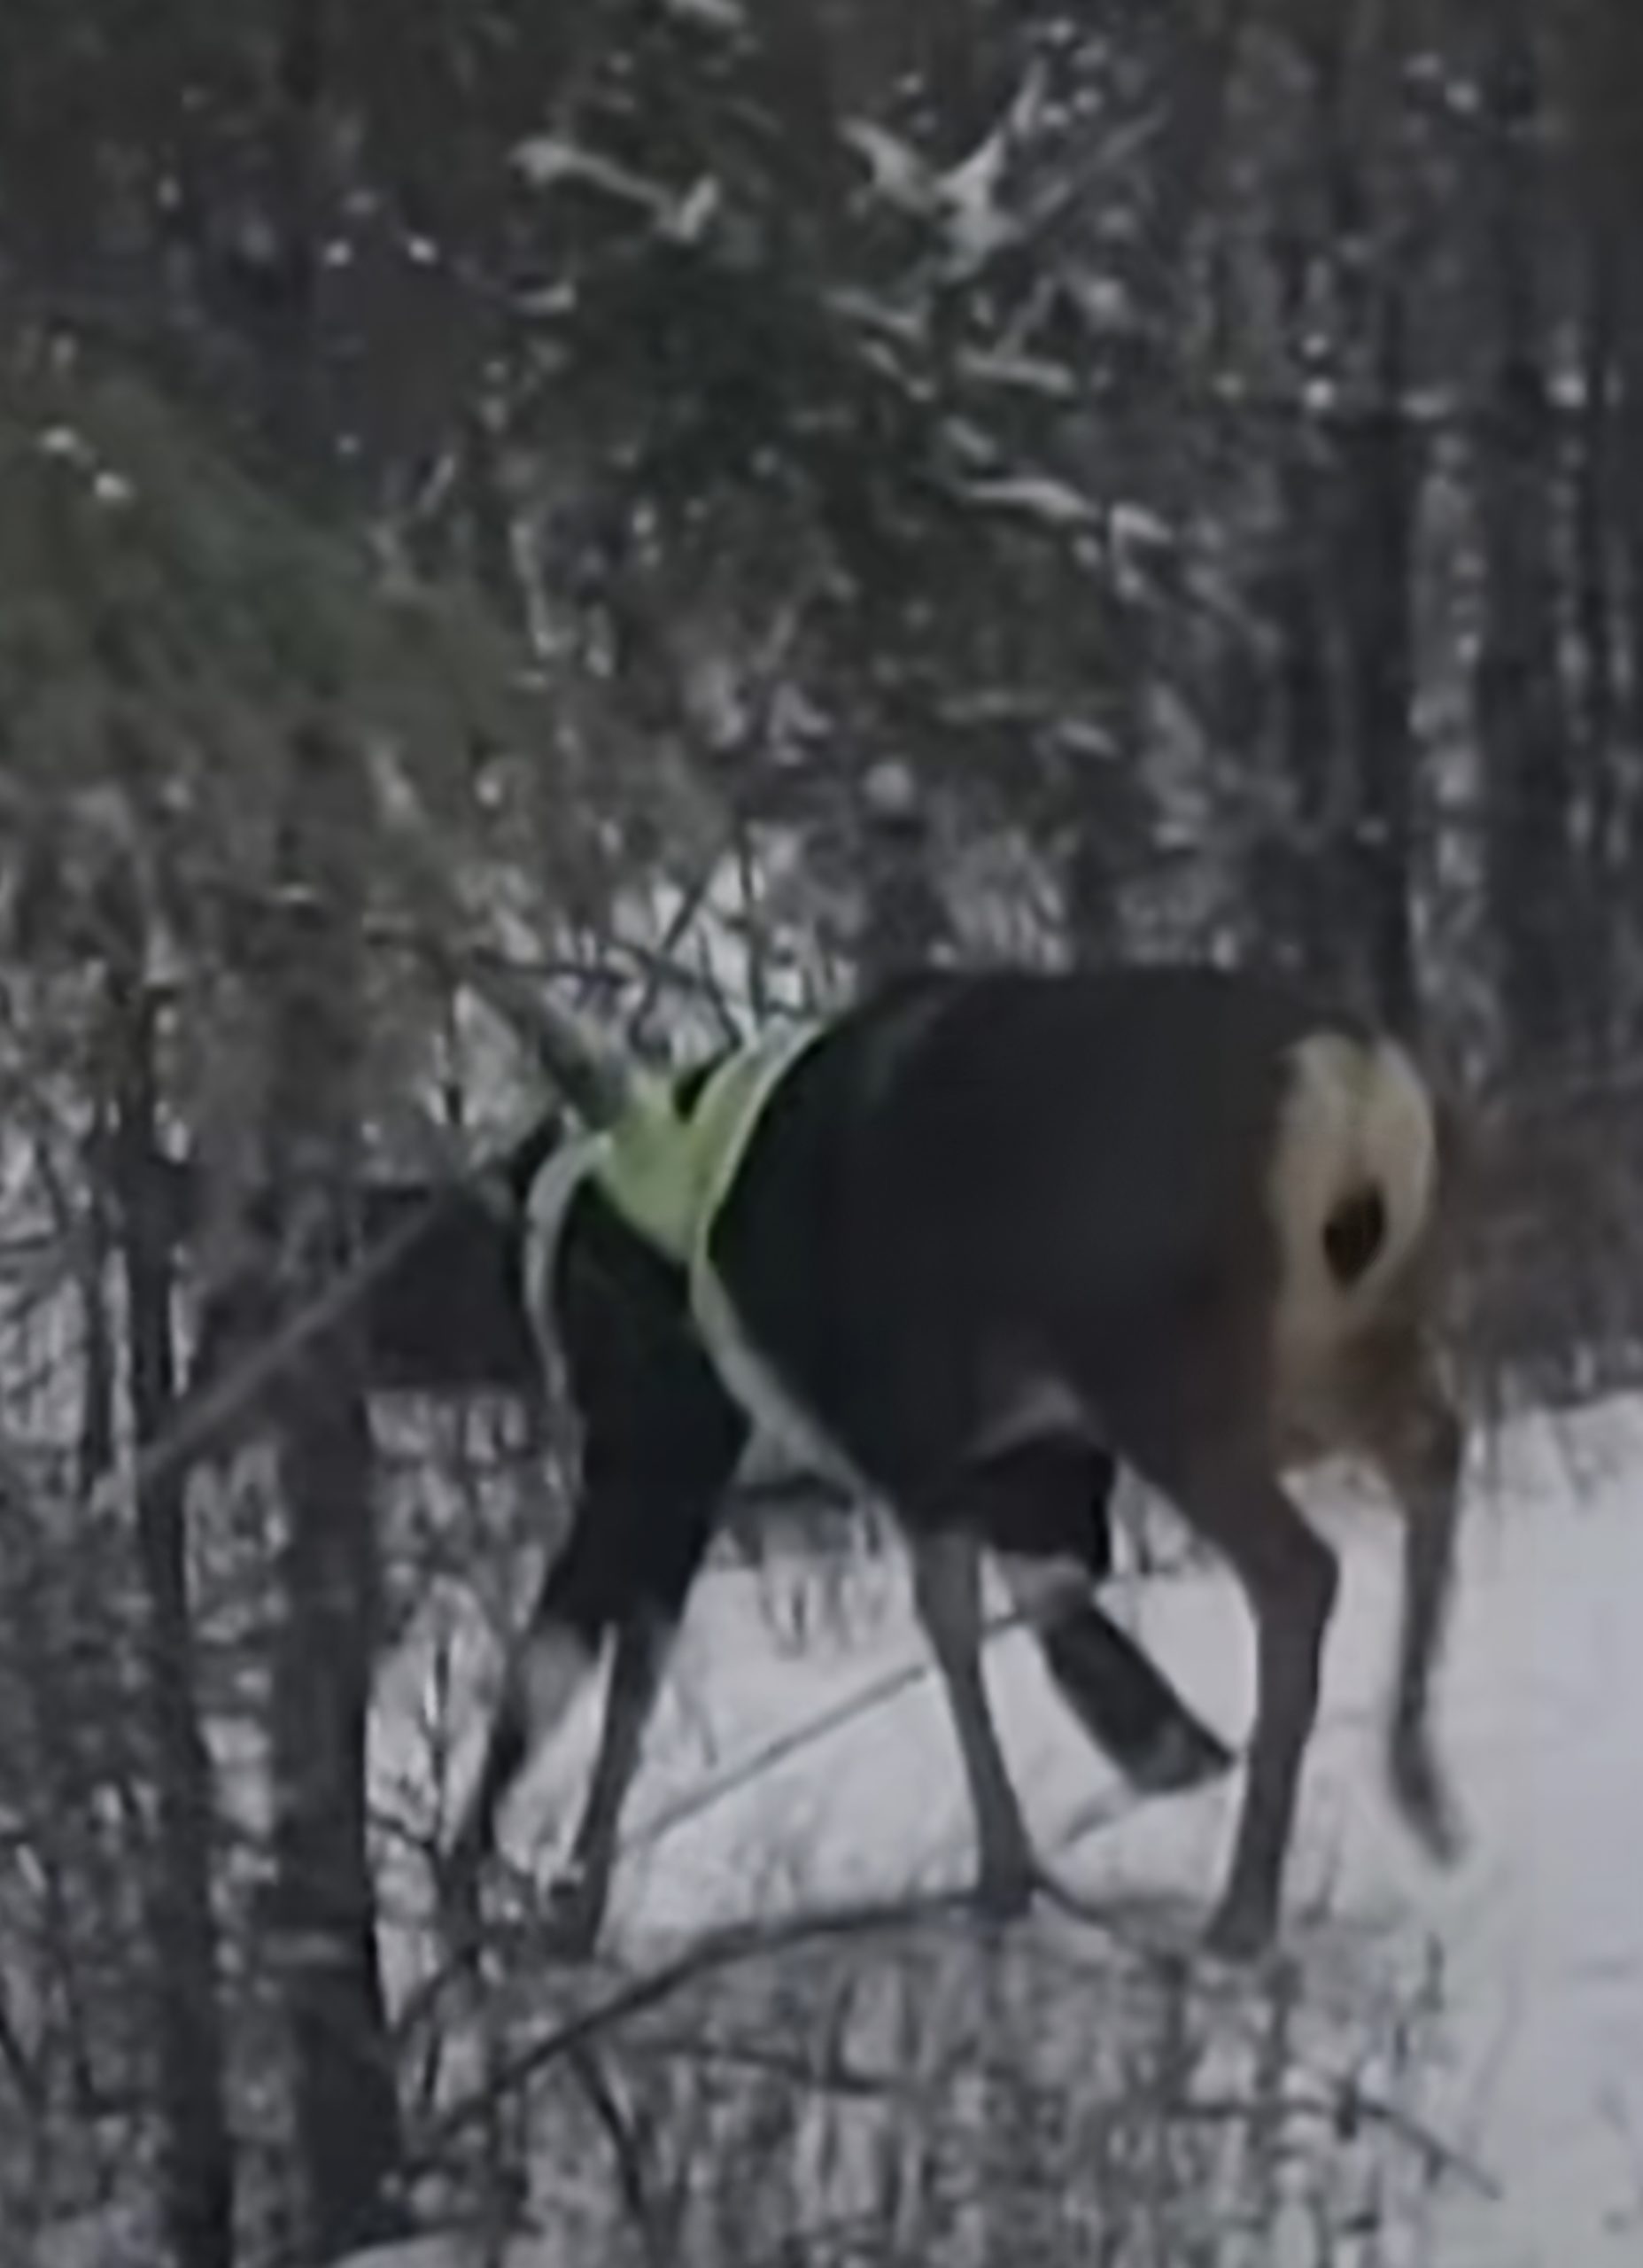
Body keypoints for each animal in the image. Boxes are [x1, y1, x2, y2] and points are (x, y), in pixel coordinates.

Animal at [435, 957, 1459, 1969]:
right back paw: (1417, 1786)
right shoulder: (995, 1454)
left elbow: (586, 1664)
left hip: (1161, 1364)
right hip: (1330, 1349)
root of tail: (1350, 1089)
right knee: (1433, 1451)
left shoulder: (722, 1445)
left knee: (1298, 1567)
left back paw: (1245, 1909)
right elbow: (986, 1611)